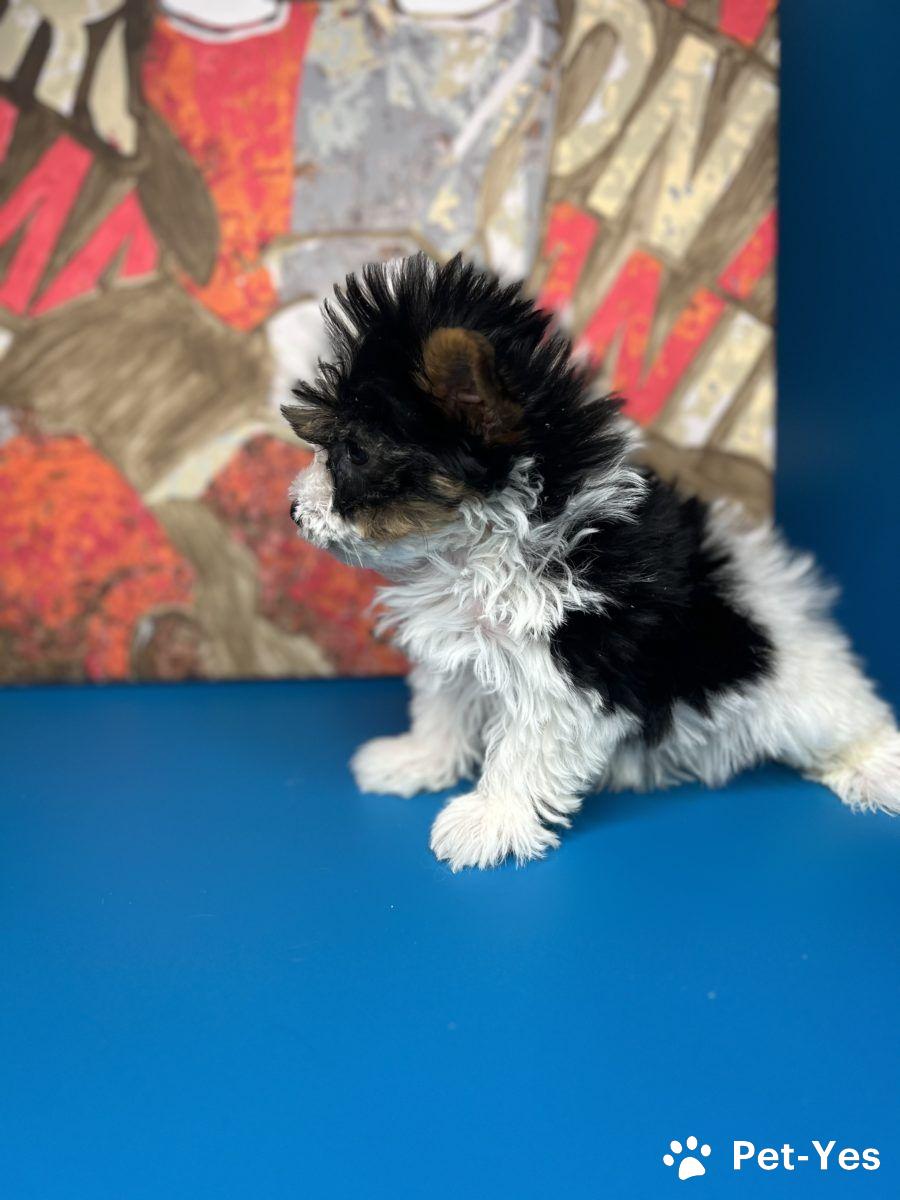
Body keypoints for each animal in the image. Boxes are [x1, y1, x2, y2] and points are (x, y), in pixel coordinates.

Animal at [284, 253, 900, 870]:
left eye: (354, 452)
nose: (293, 511)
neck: (479, 545)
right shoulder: (458, 641)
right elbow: (445, 706)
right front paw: (417, 759)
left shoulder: (562, 667)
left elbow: (525, 747)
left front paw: (490, 819)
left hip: (795, 692)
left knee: (845, 724)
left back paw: (876, 767)